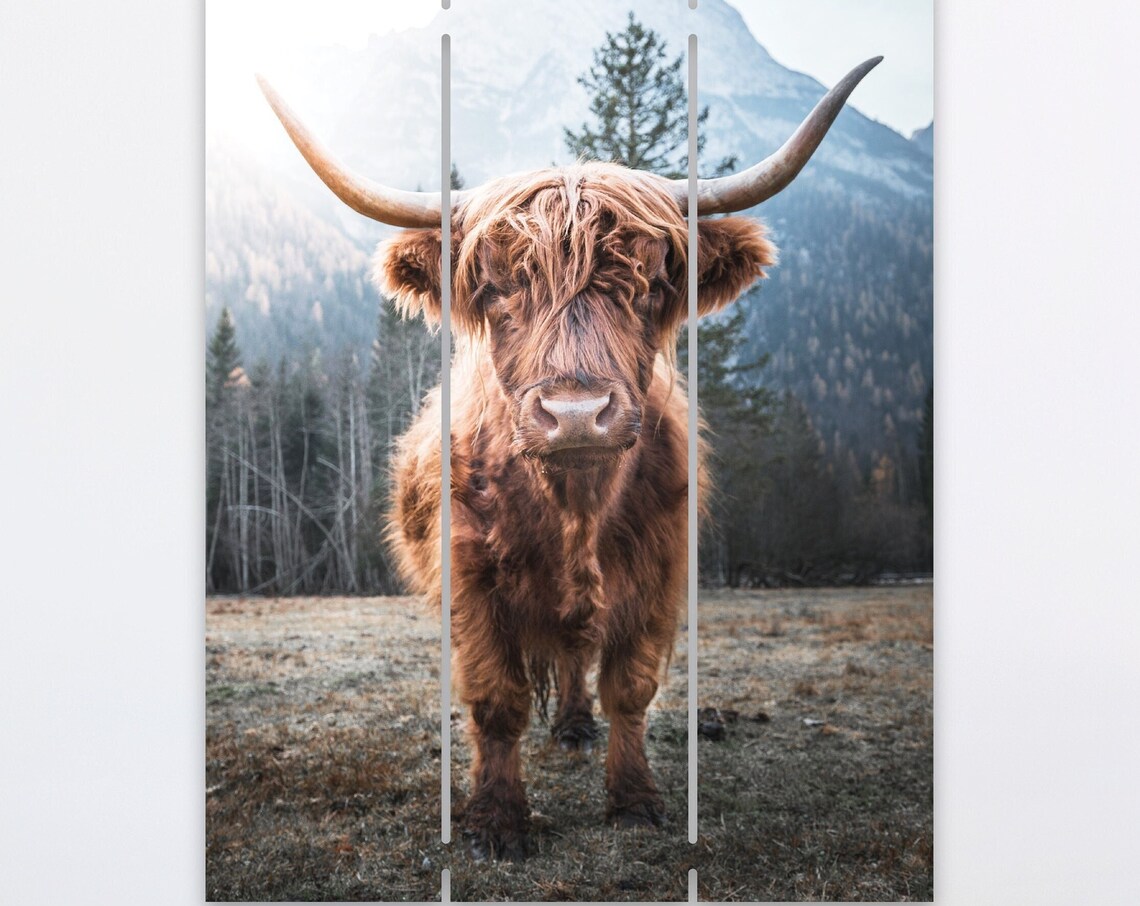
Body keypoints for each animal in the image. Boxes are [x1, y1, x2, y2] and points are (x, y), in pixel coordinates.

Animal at [258, 57, 879, 860]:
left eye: (651, 284)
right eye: (495, 287)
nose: (577, 414)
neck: (574, 507)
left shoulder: (659, 571)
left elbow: (630, 687)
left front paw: (635, 800)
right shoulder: (470, 580)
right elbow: (497, 699)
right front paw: (497, 820)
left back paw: (578, 727)